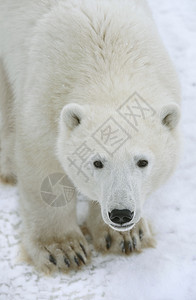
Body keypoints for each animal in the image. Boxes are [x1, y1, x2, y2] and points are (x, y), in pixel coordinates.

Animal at [0, 0, 181, 272]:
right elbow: (43, 169)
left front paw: (126, 237)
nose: (121, 214)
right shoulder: (45, 99)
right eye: (97, 162)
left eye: (143, 161)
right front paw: (63, 250)